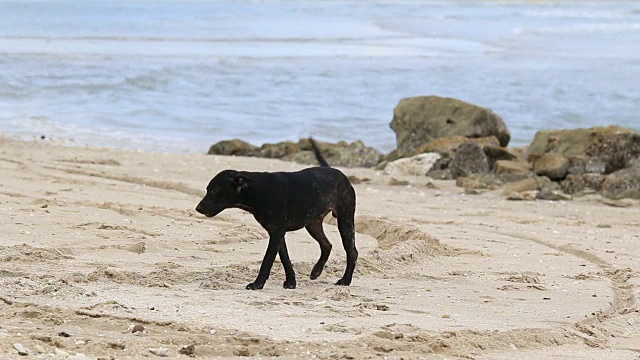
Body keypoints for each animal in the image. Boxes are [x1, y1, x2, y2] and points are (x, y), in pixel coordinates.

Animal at [196, 139, 356, 290]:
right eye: (207, 189)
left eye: (215, 190)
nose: (198, 208)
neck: (256, 190)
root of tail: (337, 173)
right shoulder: (277, 232)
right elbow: (285, 259)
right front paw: (291, 282)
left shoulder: (277, 233)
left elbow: (267, 261)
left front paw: (257, 284)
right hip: (313, 224)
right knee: (327, 244)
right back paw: (316, 271)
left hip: (345, 221)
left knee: (352, 252)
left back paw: (345, 280)